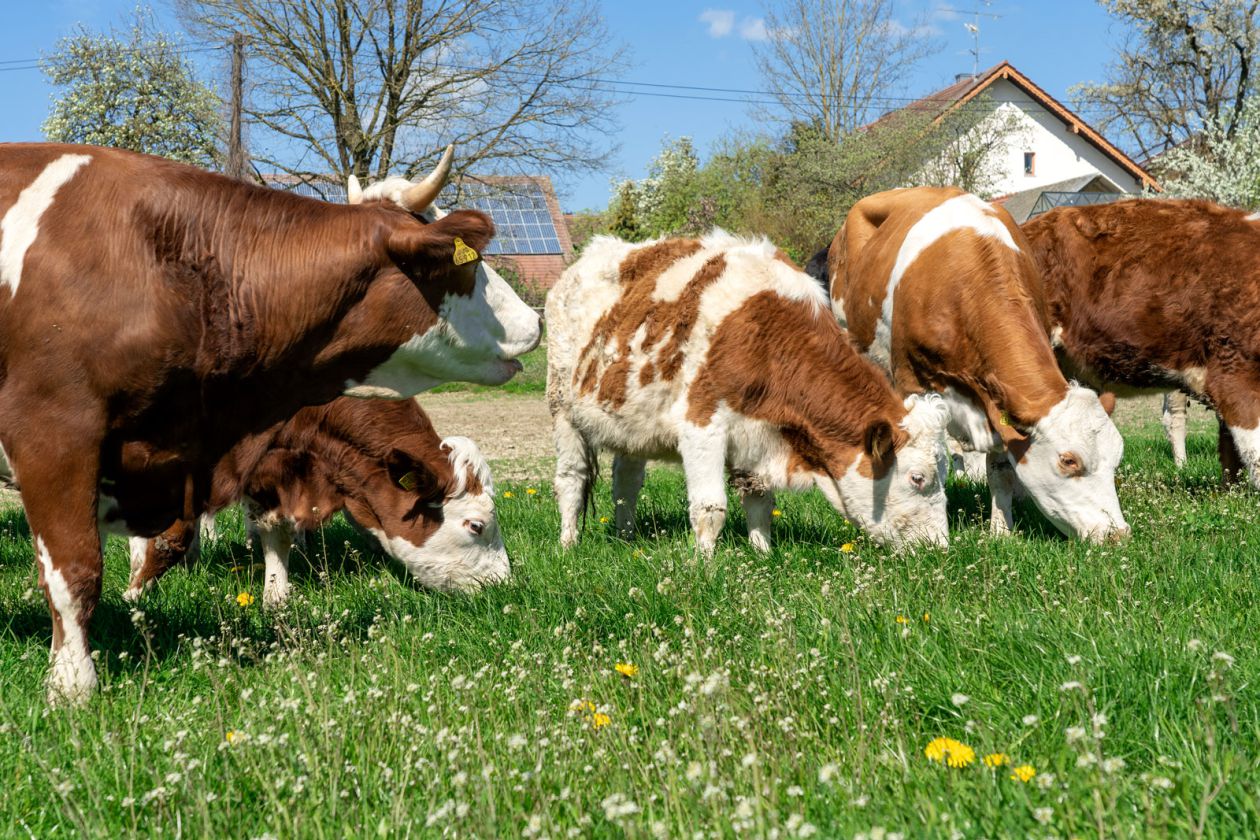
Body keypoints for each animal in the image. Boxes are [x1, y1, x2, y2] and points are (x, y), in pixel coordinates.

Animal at [124, 395, 506, 601]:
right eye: (476, 526)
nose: (502, 584)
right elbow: (172, 537)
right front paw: (135, 592)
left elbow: (277, 530)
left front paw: (275, 595)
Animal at [546, 231, 947, 559]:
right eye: (917, 478)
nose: (940, 547)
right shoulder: (702, 425)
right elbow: (710, 508)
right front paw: (703, 567)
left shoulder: (758, 434)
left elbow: (759, 501)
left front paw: (763, 555)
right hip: (562, 409)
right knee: (571, 479)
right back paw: (567, 545)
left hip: (632, 424)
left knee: (626, 483)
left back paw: (627, 538)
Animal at [826, 188, 1134, 546]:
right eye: (1069, 460)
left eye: (1116, 458)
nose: (1117, 534)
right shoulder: (912, 382)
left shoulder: (1000, 403)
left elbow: (1001, 471)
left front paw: (1001, 531)